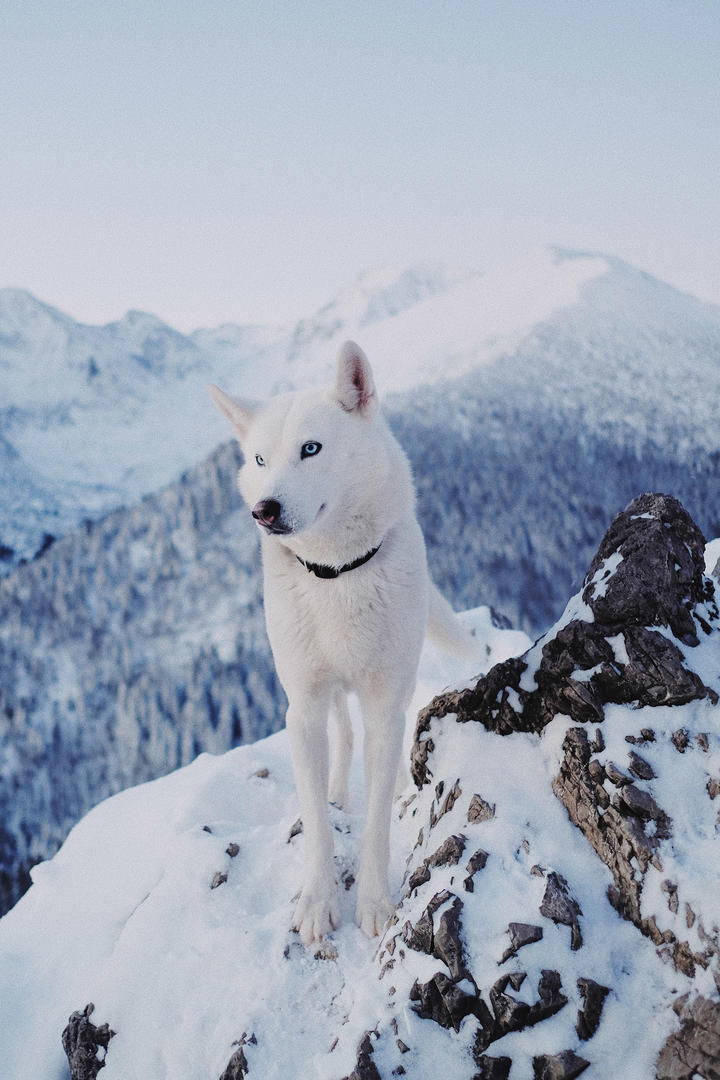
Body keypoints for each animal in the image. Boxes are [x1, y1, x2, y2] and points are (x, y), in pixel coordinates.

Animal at [209, 341, 479, 941]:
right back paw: (337, 792)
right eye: (259, 460)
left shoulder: (384, 703)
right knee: (344, 734)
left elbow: (377, 819)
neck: (337, 575)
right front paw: (317, 902)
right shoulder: (303, 708)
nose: (264, 510)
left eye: (311, 449)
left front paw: (375, 904)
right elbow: (315, 821)